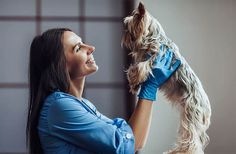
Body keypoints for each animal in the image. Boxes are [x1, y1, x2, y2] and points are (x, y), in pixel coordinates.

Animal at [121, 2, 211, 154]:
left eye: (128, 26)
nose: (124, 35)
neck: (154, 37)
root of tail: (207, 109)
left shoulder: (153, 60)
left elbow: (138, 69)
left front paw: (134, 81)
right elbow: (136, 68)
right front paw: (135, 85)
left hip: (190, 116)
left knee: (191, 140)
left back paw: (179, 151)